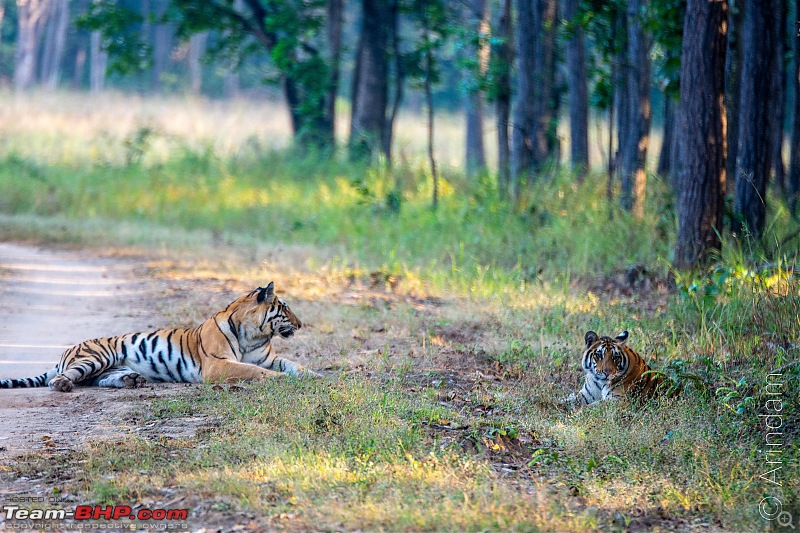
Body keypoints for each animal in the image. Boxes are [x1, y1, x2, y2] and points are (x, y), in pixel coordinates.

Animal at [0, 282, 318, 390]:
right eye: (285, 308)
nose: (302, 324)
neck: (254, 335)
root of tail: (65, 353)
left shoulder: (268, 358)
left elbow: (294, 365)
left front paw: (314, 376)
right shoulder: (217, 364)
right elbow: (252, 371)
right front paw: (278, 380)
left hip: (107, 367)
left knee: (98, 380)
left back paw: (133, 381)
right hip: (95, 357)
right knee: (60, 379)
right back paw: (63, 384)